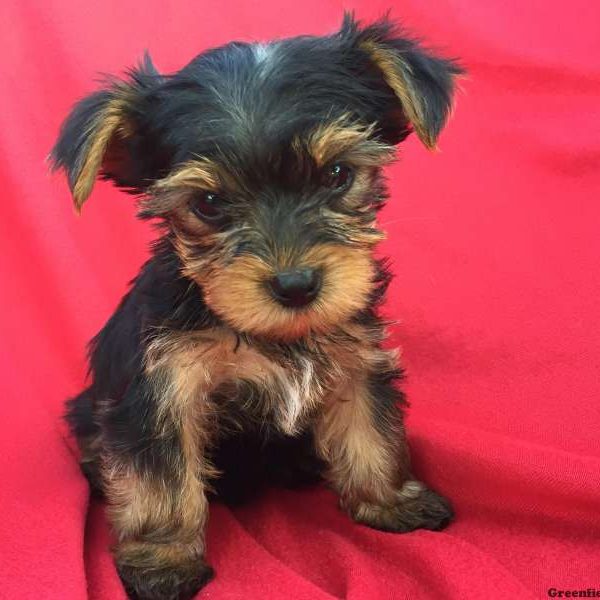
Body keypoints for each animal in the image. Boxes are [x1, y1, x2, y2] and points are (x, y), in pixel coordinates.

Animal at [52, 14, 464, 600]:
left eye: (338, 174)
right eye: (208, 204)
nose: (295, 284)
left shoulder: (357, 361)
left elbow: (370, 429)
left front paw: (390, 500)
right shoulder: (159, 391)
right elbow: (161, 479)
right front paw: (163, 560)